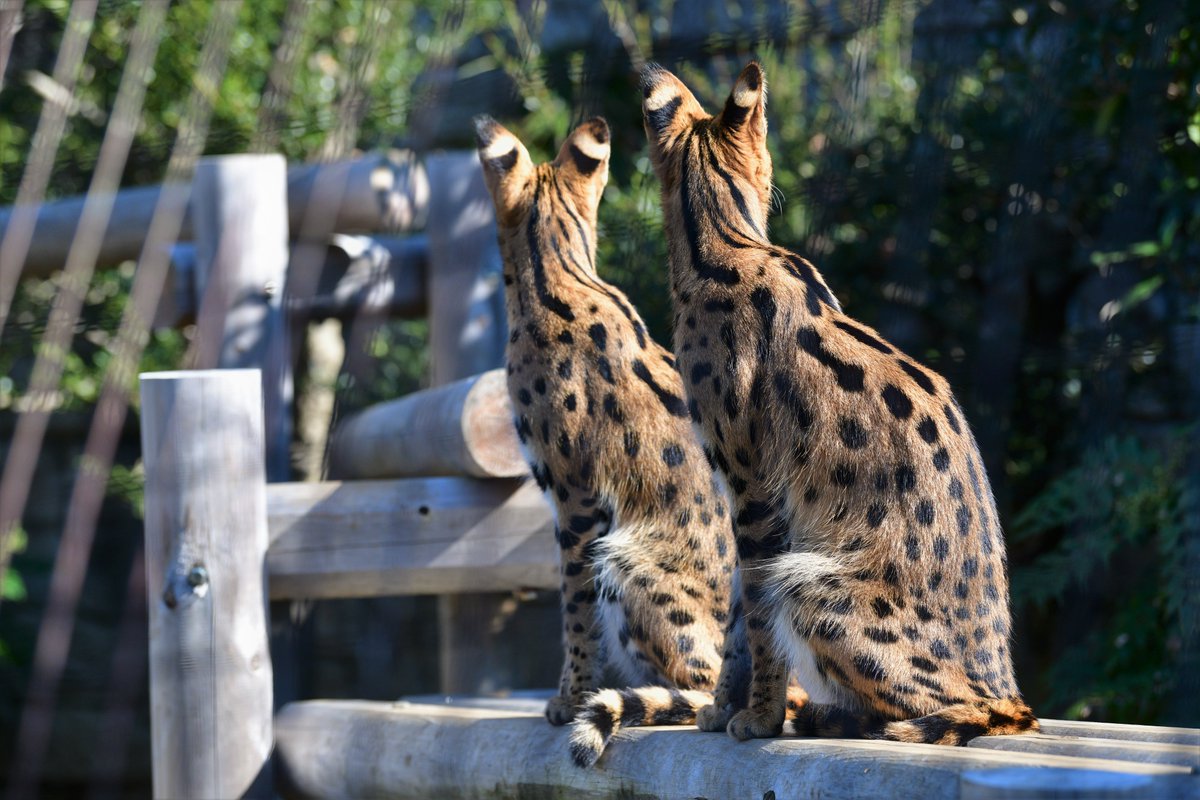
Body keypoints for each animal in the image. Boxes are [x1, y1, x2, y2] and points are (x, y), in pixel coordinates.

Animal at [476, 115, 755, 766]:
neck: (556, 268)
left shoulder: (574, 493)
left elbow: (573, 605)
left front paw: (569, 696)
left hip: (627, 557)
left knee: (706, 686)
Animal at [638, 60, 1039, 746]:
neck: (722, 239)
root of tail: (1005, 678)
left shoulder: (752, 487)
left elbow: (754, 617)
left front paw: (758, 717)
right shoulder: (742, 494)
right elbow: (738, 616)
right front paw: (724, 708)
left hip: (812, 581)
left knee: (972, 711)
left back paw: (867, 721)